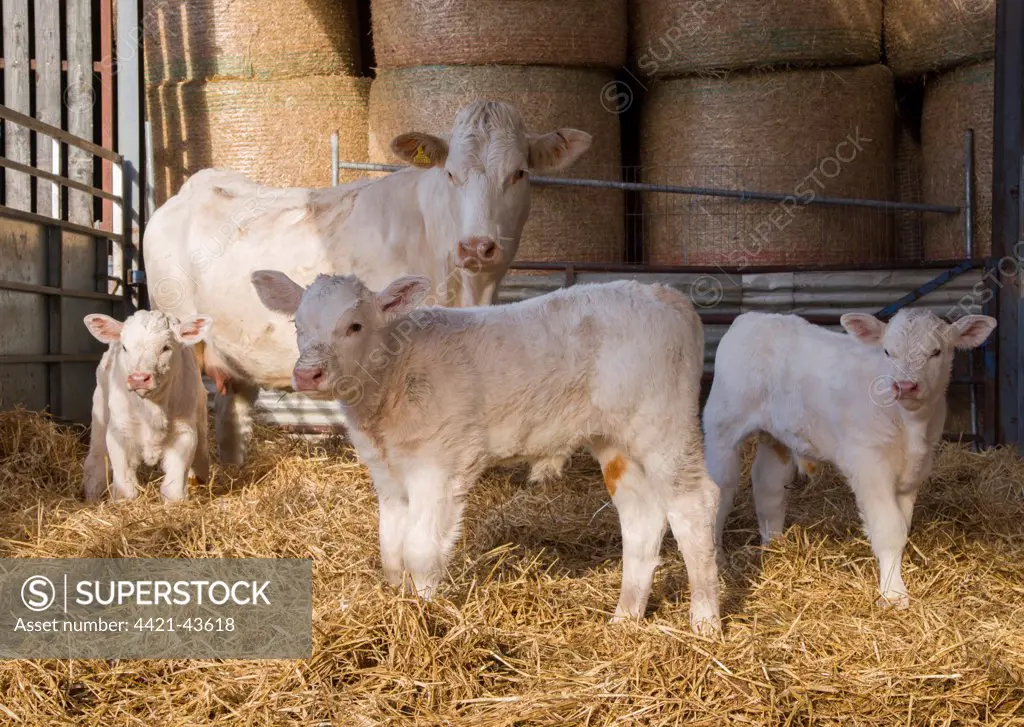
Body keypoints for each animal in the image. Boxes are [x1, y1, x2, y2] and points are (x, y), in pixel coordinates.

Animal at [83, 311, 214, 503]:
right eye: (125, 347)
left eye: (166, 347)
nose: (139, 378)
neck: (153, 408)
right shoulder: (119, 430)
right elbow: (125, 489)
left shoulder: (184, 432)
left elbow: (173, 490)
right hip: (100, 414)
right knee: (96, 461)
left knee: (202, 457)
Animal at [251, 270, 724, 634]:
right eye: (298, 326)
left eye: (354, 326)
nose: (307, 374)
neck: (393, 376)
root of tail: (664, 294)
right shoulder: (387, 474)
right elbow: (390, 551)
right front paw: (397, 606)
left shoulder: (440, 466)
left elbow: (420, 550)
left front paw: (423, 618)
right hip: (616, 440)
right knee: (642, 515)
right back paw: (626, 617)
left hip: (665, 427)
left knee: (694, 504)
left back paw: (705, 622)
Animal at [700, 309, 995, 610]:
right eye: (888, 351)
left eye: (936, 352)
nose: (904, 386)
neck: (910, 423)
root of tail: (753, 317)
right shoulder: (869, 464)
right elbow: (889, 528)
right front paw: (893, 594)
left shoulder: (915, 470)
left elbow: (903, 526)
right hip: (722, 426)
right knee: (720, 491)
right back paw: (719, 556)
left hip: (776, 436)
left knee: (767, 486)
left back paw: (775, 545)